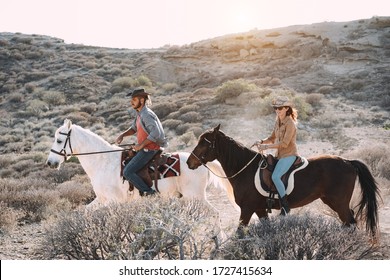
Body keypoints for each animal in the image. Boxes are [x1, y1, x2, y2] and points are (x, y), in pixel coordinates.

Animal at [45, 118, 235, 210]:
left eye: (59, 140)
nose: (50, 163)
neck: (102, 162)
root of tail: (200, 162)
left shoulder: (114, 201)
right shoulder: (101, 198)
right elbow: (84, 213)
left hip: (195, 196)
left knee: (215, 214)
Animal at [187, 124, 380, 241]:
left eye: (205, 143)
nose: (189, 162)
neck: (245, 169)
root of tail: (348, 161)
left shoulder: (247, 209)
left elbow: (239, 233)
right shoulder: (259, 209)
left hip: (338, 203)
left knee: (350, 223)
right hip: (334, 202)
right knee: (350, 222)